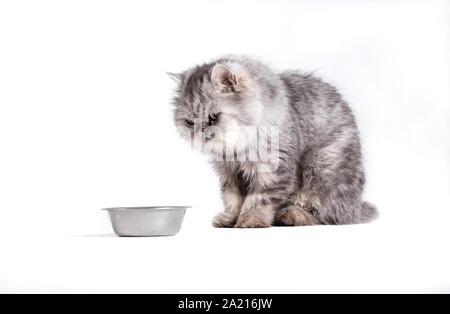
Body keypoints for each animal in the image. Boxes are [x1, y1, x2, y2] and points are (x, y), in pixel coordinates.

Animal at [168, 55, 376, 228]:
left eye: (214, 117)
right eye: (189, 122)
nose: (201, 134)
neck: (235, 148)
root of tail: (357, 205)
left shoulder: (273, 170)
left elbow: (259, 200)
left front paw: (250, 220)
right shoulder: (229, 173)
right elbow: (232, 200)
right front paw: (229, 219)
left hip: (320, 166)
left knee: (327, 216)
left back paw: (292, 215)